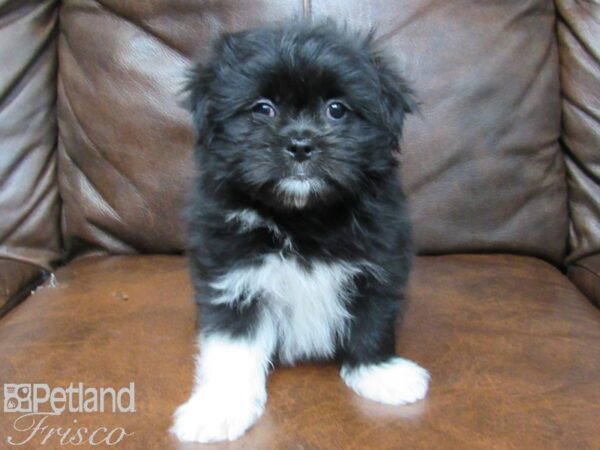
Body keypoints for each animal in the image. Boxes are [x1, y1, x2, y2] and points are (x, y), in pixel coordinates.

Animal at [171, 22, 428, 442]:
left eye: (336, 109)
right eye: (263, 108)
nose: (300, 144)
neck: (302, 217)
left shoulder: (379, 262)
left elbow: (373, 318)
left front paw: (378, 371)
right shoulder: (233, 277)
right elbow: (231, 347)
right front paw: (220, 408)